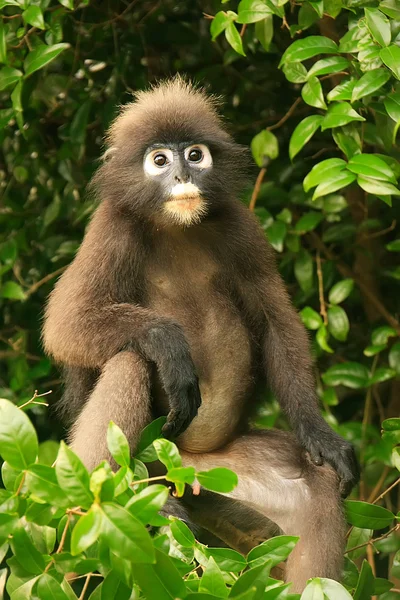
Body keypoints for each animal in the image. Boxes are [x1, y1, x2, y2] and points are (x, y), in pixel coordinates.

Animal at [43, 75, 356, 584]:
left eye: (194, 155)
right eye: (159, 160)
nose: (181, 178)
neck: (178, 226)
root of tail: (182, 467)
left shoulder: (241, 224)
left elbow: (275, 321)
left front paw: (321, 436)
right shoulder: (112, 227)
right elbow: (65, 323)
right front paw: (171, 347)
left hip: (225, 476)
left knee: (317, 488)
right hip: (153, 458)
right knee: (130, 357)